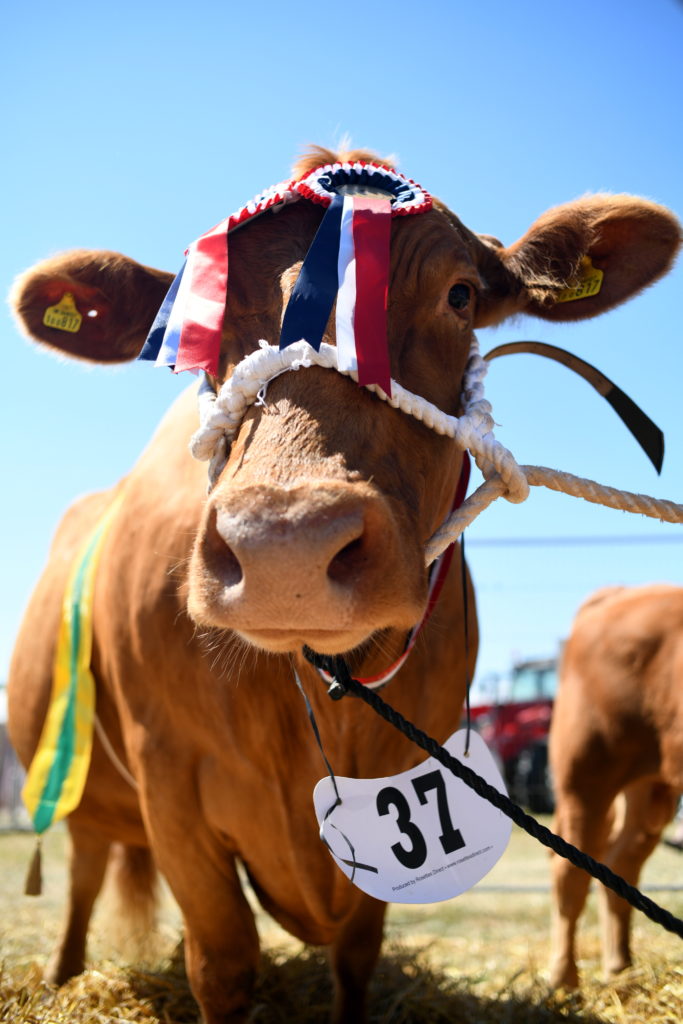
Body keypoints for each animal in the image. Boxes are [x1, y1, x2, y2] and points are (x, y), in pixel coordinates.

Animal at [548, 589, 683, 987]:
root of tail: (621, 592)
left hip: (648, 786)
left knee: (620, 863)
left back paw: (620, 970)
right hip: (586, 776)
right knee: (571, 872)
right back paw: (564, 978)